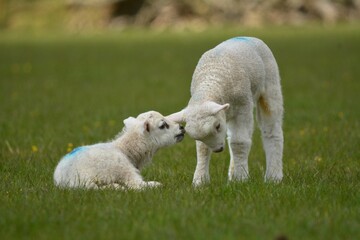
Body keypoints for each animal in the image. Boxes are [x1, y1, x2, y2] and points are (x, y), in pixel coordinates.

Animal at [53, 111, 186, 190]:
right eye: (163, 125)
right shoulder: (126, 171)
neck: (125, 150)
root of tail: (67, 178)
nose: (182, 127)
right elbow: (137, 185)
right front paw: (157, 184)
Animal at [169, 36, 284, 186]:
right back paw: (232, 175)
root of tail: (249, 37)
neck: (212, 79)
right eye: (196, 137)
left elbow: (240, 143)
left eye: (217, 126)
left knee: (272, 131)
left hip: (271, 85)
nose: (218, 150)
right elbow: (203, 148)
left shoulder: (243, 107)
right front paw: (200, 181)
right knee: (232, 138)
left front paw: (241, 179)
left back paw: (273, 177)